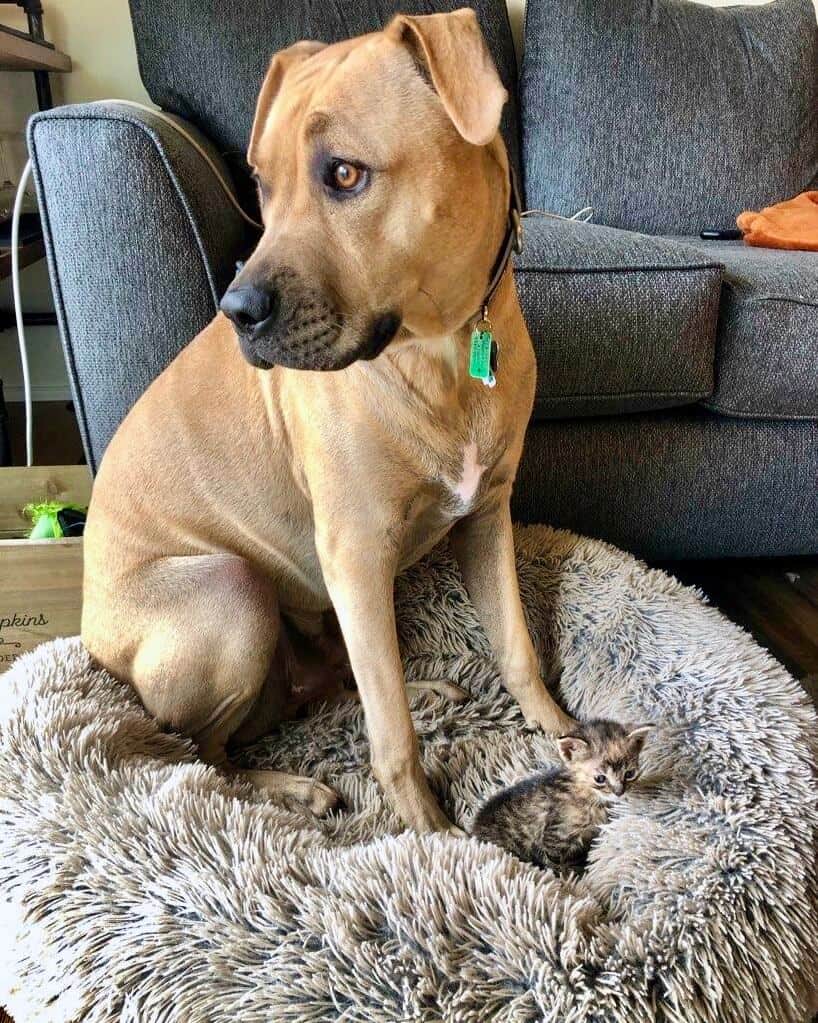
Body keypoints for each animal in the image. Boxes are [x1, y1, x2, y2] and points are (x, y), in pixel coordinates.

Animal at [81, 9, 568, 830]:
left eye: (343, 173)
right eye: (260, 187)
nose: (236, 311)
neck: (438, 352)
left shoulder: (486, 519)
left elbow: (515, 648)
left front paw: (564, 733)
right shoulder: (355, 554)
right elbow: (391, 735)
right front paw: (433, 835)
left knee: (338, 687)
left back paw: (419, 691)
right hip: (232, 589)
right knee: (200, 751)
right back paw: (294, 788)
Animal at [472, 720, 650, 871]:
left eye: (629, 774)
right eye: (600, 779)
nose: (619, 792)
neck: (589, 798)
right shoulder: (555, 837)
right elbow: (560, 866)